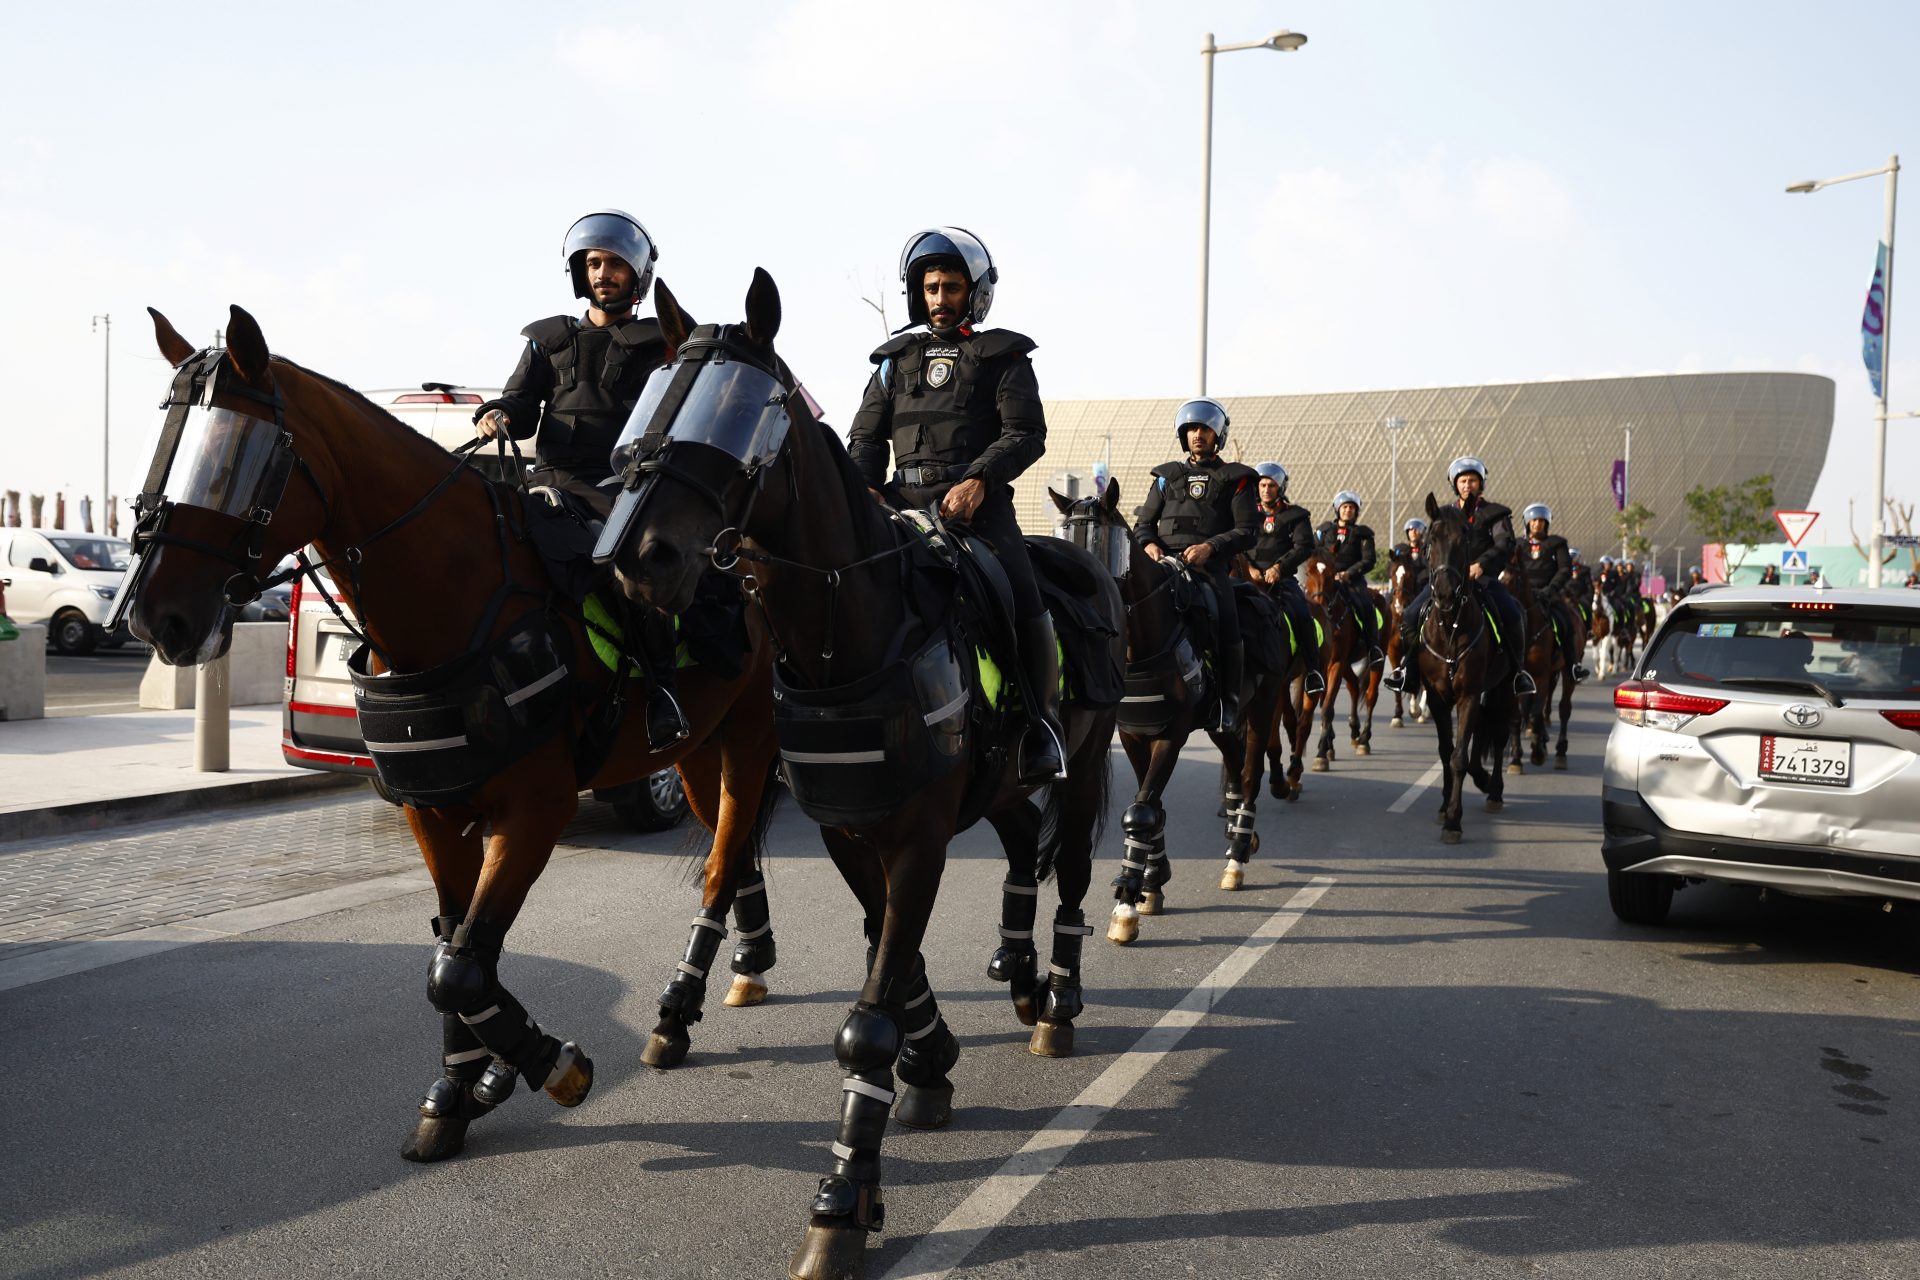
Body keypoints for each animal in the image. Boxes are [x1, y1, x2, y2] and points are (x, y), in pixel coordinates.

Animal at [123, 305, 779, 1166]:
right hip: (699, 750)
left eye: (232, 459)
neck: (455, 596)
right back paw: (746, 964)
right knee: (730, 856)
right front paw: (464, 1087)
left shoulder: (535, 811)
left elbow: (460, 969)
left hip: (748, 736)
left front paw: (546, 1063)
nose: (154, 617)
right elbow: (452, 944)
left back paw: (683, 1009)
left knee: (725, 859)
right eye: (167, 442)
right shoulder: (430, 810)